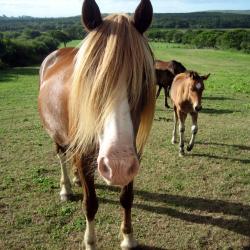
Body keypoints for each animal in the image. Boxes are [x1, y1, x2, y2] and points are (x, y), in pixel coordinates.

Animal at [37, 0, 155, 249]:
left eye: (144, 77)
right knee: (61, 155)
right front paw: (90, 242)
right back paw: (66, 188)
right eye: (91, 77)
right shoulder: (85, 155)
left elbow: (126, 198)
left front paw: (128, 237)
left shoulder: (134, 156)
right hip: (56, 135)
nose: (117, 165)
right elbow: (90, 204)